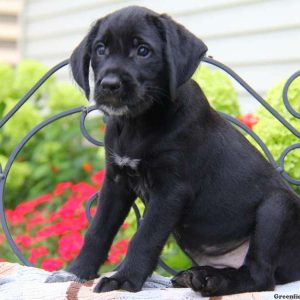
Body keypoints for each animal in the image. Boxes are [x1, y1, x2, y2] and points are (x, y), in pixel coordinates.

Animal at [48, 5, 300, 296]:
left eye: (143, 50)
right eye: (100, 49)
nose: (109, 84)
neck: (138, 123)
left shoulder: (171, 190)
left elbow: (144, 237)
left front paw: (124, 280)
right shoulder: (116, 181)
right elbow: (98, 230)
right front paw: (76, 272)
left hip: (277, 207)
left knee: (260, 275)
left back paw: (214, 281)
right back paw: (200, 275)